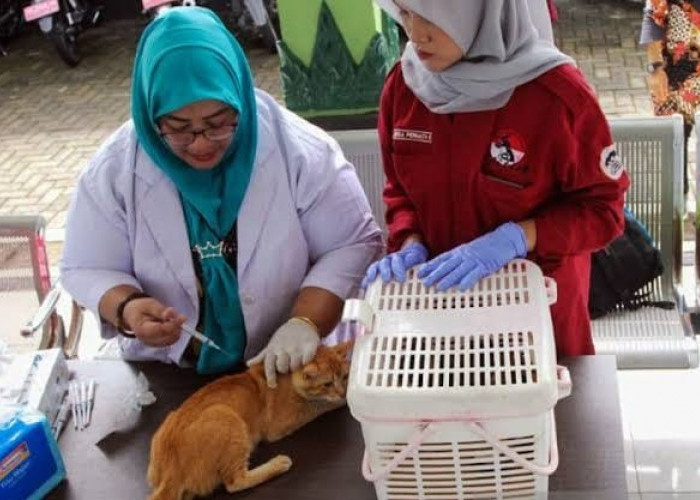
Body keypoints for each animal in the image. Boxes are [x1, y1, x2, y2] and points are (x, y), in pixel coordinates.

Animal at [146, 342, 350, 500]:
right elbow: (320, 406)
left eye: (345, 376)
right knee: (235, 482)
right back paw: (278, 463)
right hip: (228, 418)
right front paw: (344, 401)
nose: (342, 392)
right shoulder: (282, 423)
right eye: (327, 384)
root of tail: (170, 471)